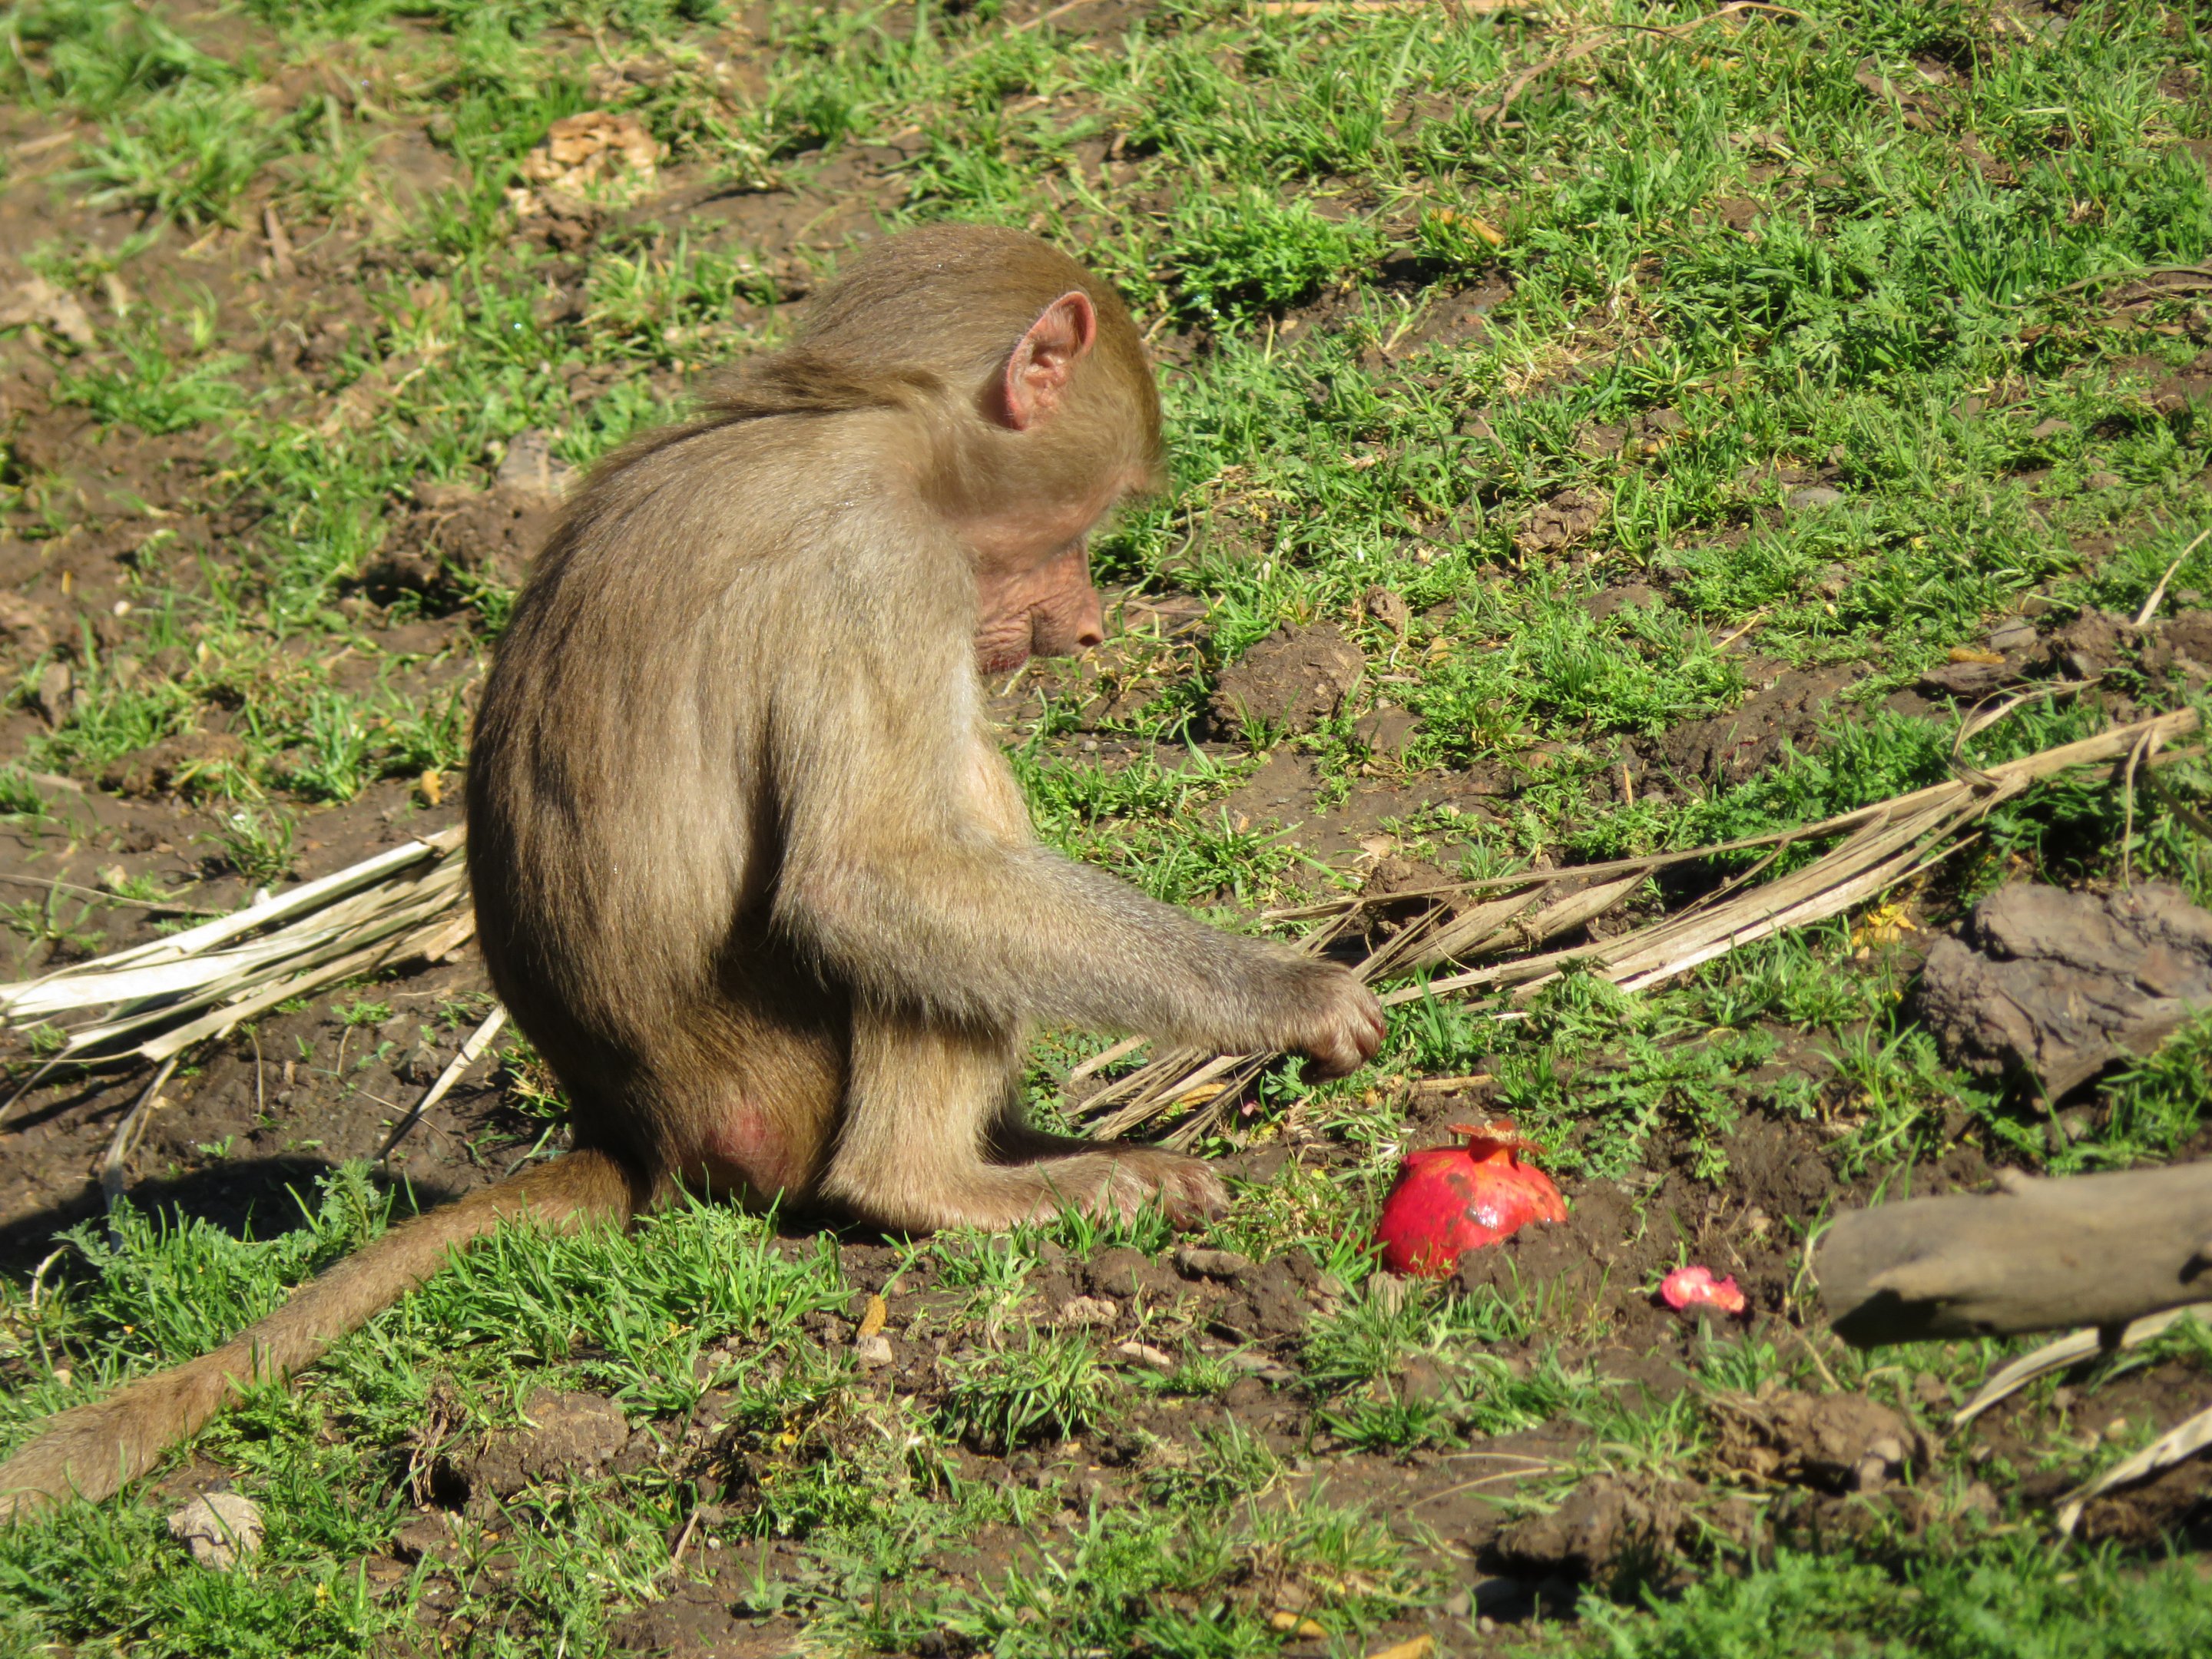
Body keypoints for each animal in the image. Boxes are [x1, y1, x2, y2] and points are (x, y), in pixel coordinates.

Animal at [0, 224, 1384, 1520]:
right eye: (1084, 521)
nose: (1084, 628)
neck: (874, 422)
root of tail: (636, 1131)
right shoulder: (886, 566)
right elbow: (867, 880)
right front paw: (1292, 998)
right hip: (778, 1096)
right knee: (939, 841)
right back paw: (940, 1187)